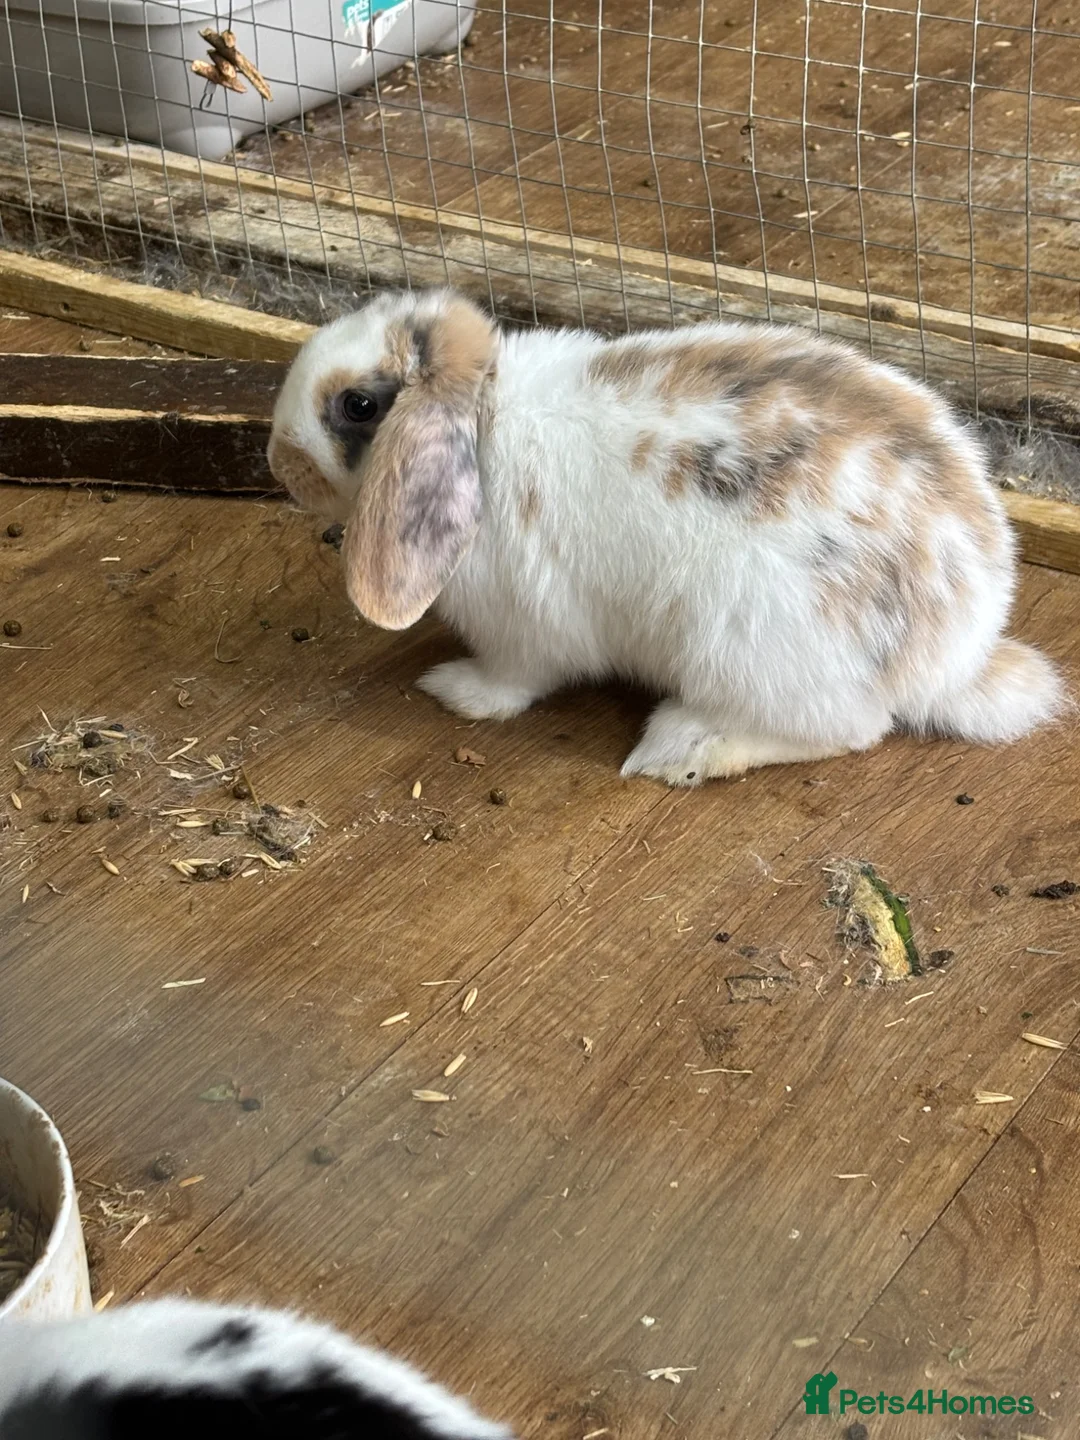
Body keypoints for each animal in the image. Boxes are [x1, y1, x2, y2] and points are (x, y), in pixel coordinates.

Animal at [268, 288, 1064, 786]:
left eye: (358, 405)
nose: (278, 462)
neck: (483, 421)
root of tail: (957, 656)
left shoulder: (523, 628)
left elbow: (512, 681)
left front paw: (455, 691)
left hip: (743, 645)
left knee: (851, 729)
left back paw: (681, 749)